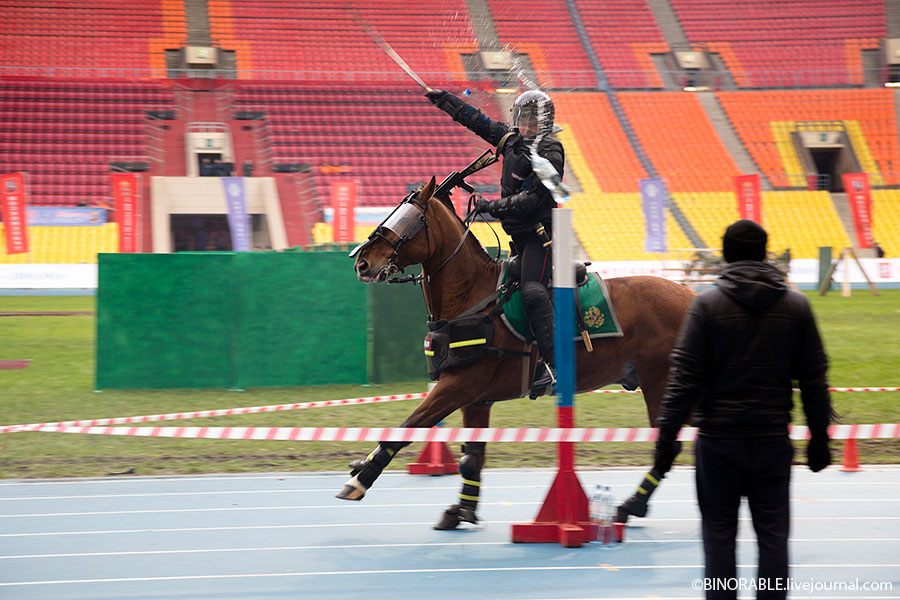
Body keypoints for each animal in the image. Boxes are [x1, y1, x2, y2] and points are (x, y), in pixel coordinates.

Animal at [338, 171, 696, 528]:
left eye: (408, 220)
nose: (362, 262)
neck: (474, 295)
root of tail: (692, 297)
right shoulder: (476, 399)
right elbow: (472, 457)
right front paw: (462, 510)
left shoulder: (458, 385)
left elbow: (408, 426)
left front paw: (361, 478)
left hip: (659, 385)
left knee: (669, 448)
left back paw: (631, 505)